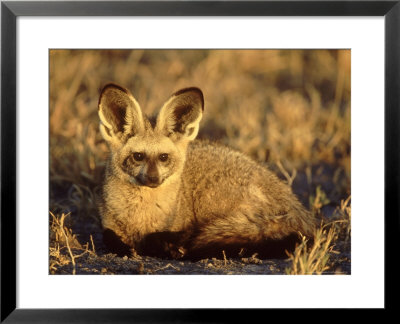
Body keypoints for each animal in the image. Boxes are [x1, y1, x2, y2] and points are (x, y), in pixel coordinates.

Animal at [97, 83, 316, 260]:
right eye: (138, 156)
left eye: (163, 157)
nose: (153, 178)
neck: (140, 218)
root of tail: (297, 209)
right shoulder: (108, 225)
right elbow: (109, 238)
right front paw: (128, 248)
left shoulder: (186, 225)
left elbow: (164, 237)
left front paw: (167, 247)